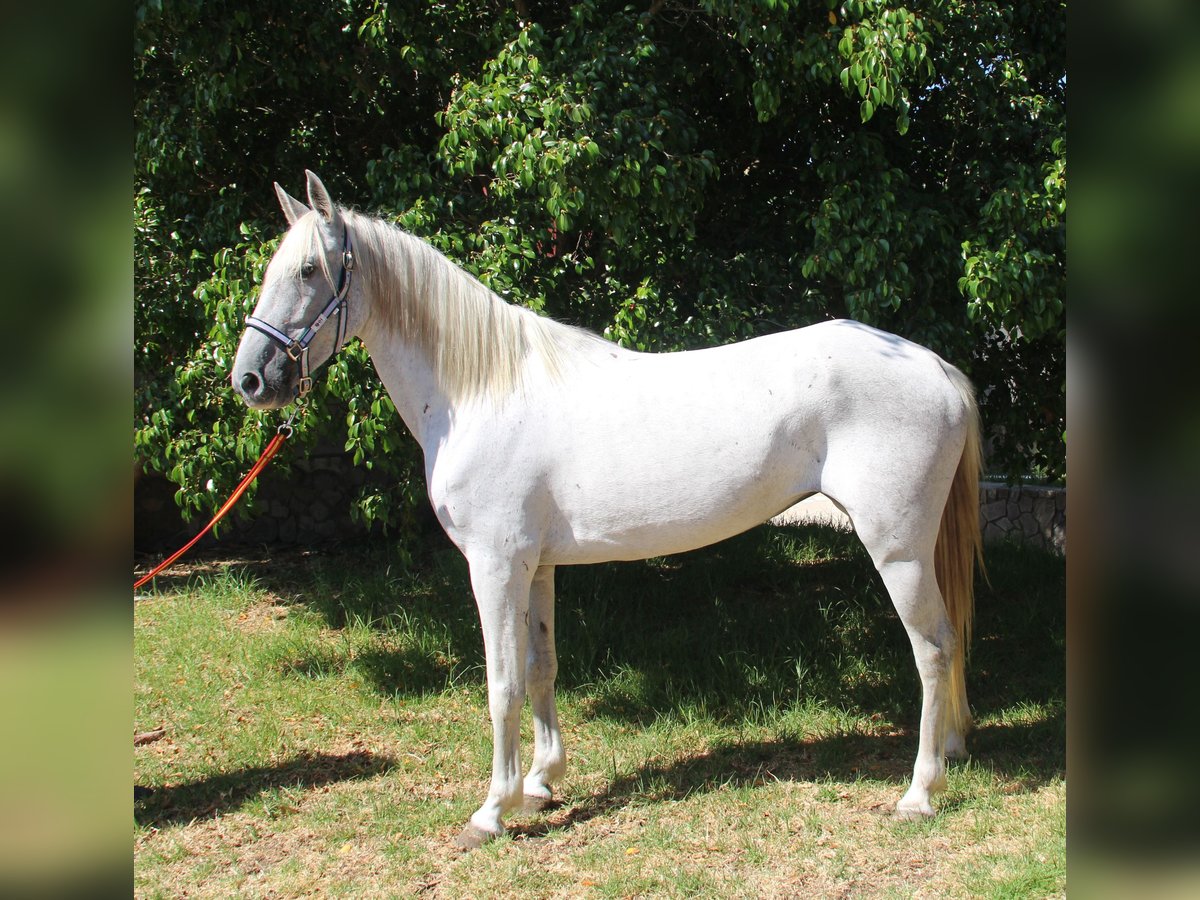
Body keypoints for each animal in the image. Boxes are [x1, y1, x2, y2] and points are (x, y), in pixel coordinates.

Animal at [229, 172, 979, 849]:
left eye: (308, 270)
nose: (251, 379)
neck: (483, 389)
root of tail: (939, 368)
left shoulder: (494, 566)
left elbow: (501, 682)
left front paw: (491, 812)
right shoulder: (535, 567)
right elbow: (541, 667)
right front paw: (540, 783)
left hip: (898, 550)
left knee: (934, 647)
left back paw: (919, 792)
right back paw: (951, 753)